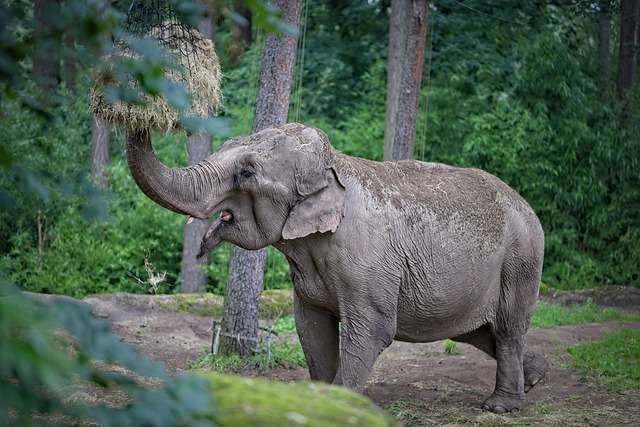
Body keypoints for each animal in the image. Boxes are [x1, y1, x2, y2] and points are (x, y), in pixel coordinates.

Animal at [126, 122, 552, 412]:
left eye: (246, 172)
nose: (144, 114)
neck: (334, 166)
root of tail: (527, 205)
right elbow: (311, 327)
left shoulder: (368, 262)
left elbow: (372, 331)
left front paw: (337, 406)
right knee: (478, 332)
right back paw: (536, 377)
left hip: (521, 260)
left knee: (507, 328)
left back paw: (501, 406)